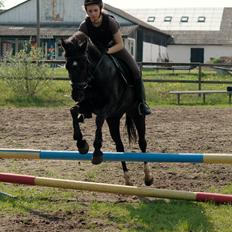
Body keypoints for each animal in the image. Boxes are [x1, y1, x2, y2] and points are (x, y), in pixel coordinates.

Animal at [60, 32, 153, 186]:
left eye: (84, 65)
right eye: (67, 66)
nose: (76, 95)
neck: (96, 76)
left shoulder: (109, 106)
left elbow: (98, 119)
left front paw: (97, 152)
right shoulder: (88, 105)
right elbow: (73, 111)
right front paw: (81, 143)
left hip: (135, 113)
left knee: (142, 142)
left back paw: (148, 177)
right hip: (113, 119)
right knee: (120, 147)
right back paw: (127, 179)